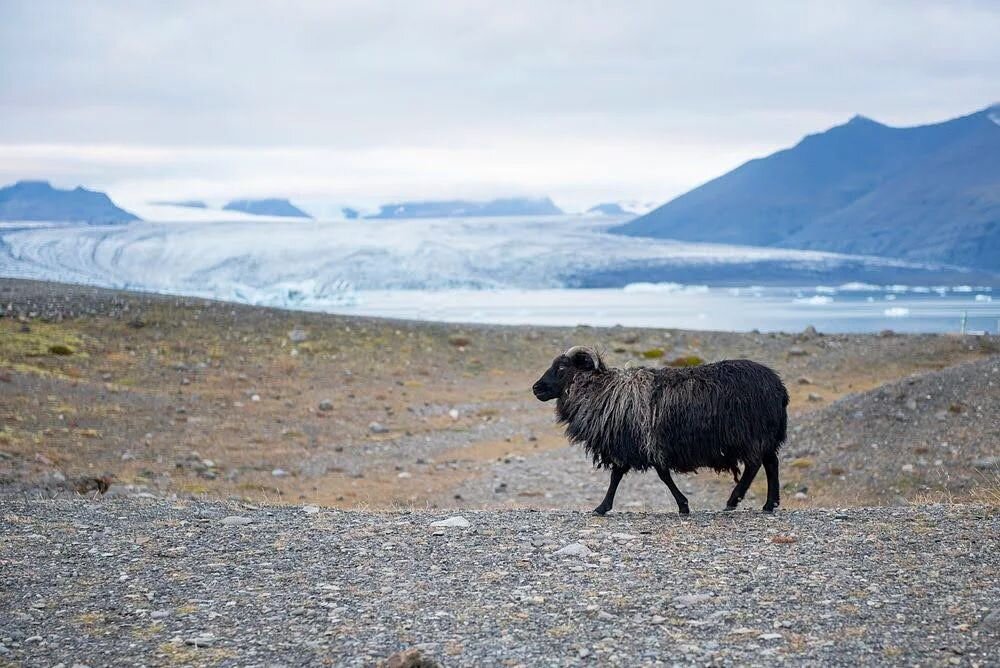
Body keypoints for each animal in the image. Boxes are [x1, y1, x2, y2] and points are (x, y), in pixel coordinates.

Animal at [532, 348, 788, 516]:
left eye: (561, 367)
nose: (536, 388)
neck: (604, 392)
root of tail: (779, 387)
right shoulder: (643, 444)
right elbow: (648, 475)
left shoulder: (639, 443)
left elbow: (638, 476)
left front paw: (601, 508)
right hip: (764, 435)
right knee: (771, 462)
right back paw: (770, 504)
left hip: (749, 435)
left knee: (755, 465)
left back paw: (734, 500)